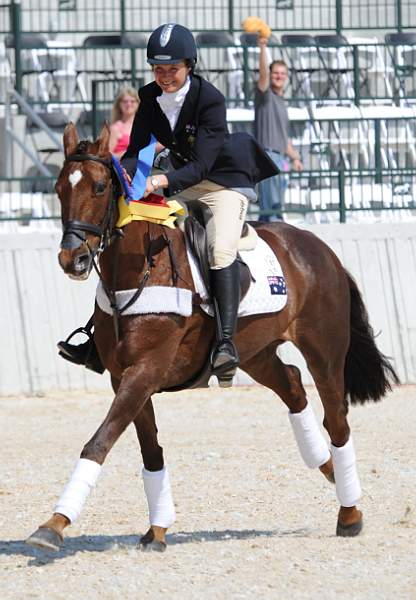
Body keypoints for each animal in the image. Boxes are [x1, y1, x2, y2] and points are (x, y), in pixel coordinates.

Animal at [26, 123, 400, 552]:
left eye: (101, 187)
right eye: (59, 189)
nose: (72, 259)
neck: (139, 270)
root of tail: (321, 249)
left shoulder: (146, 370)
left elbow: (99, 441)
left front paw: (53, 525)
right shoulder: (125, 376)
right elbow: (150, 452)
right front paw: (157, 529)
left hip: (323, 352)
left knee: (336, 420)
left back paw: (349, 511)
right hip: (255, 352)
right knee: (291, 385)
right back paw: (328, 468)